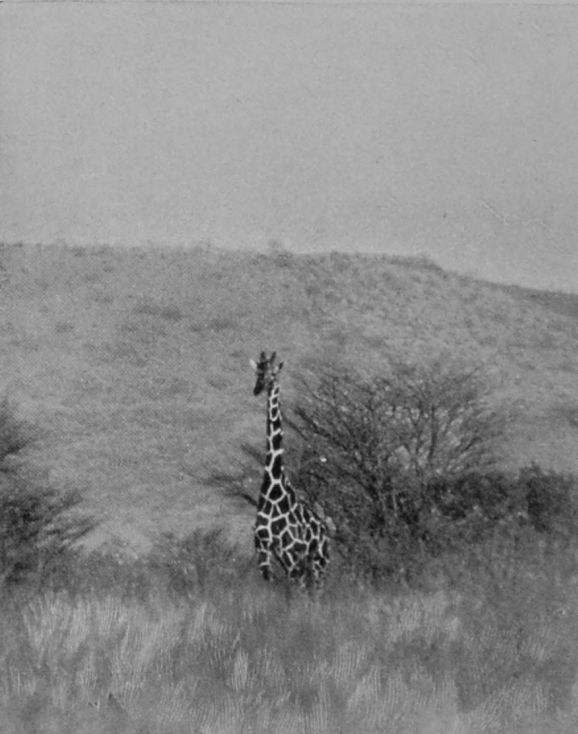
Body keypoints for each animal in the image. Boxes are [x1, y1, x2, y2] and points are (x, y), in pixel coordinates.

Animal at [250, 351, 329, 588]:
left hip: (318, 559)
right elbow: (270, 583)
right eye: (259, 373)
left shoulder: (288, 549)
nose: (258, 388)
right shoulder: (262, 545)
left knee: (315, 587)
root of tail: (324, 529)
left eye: (274, 373)